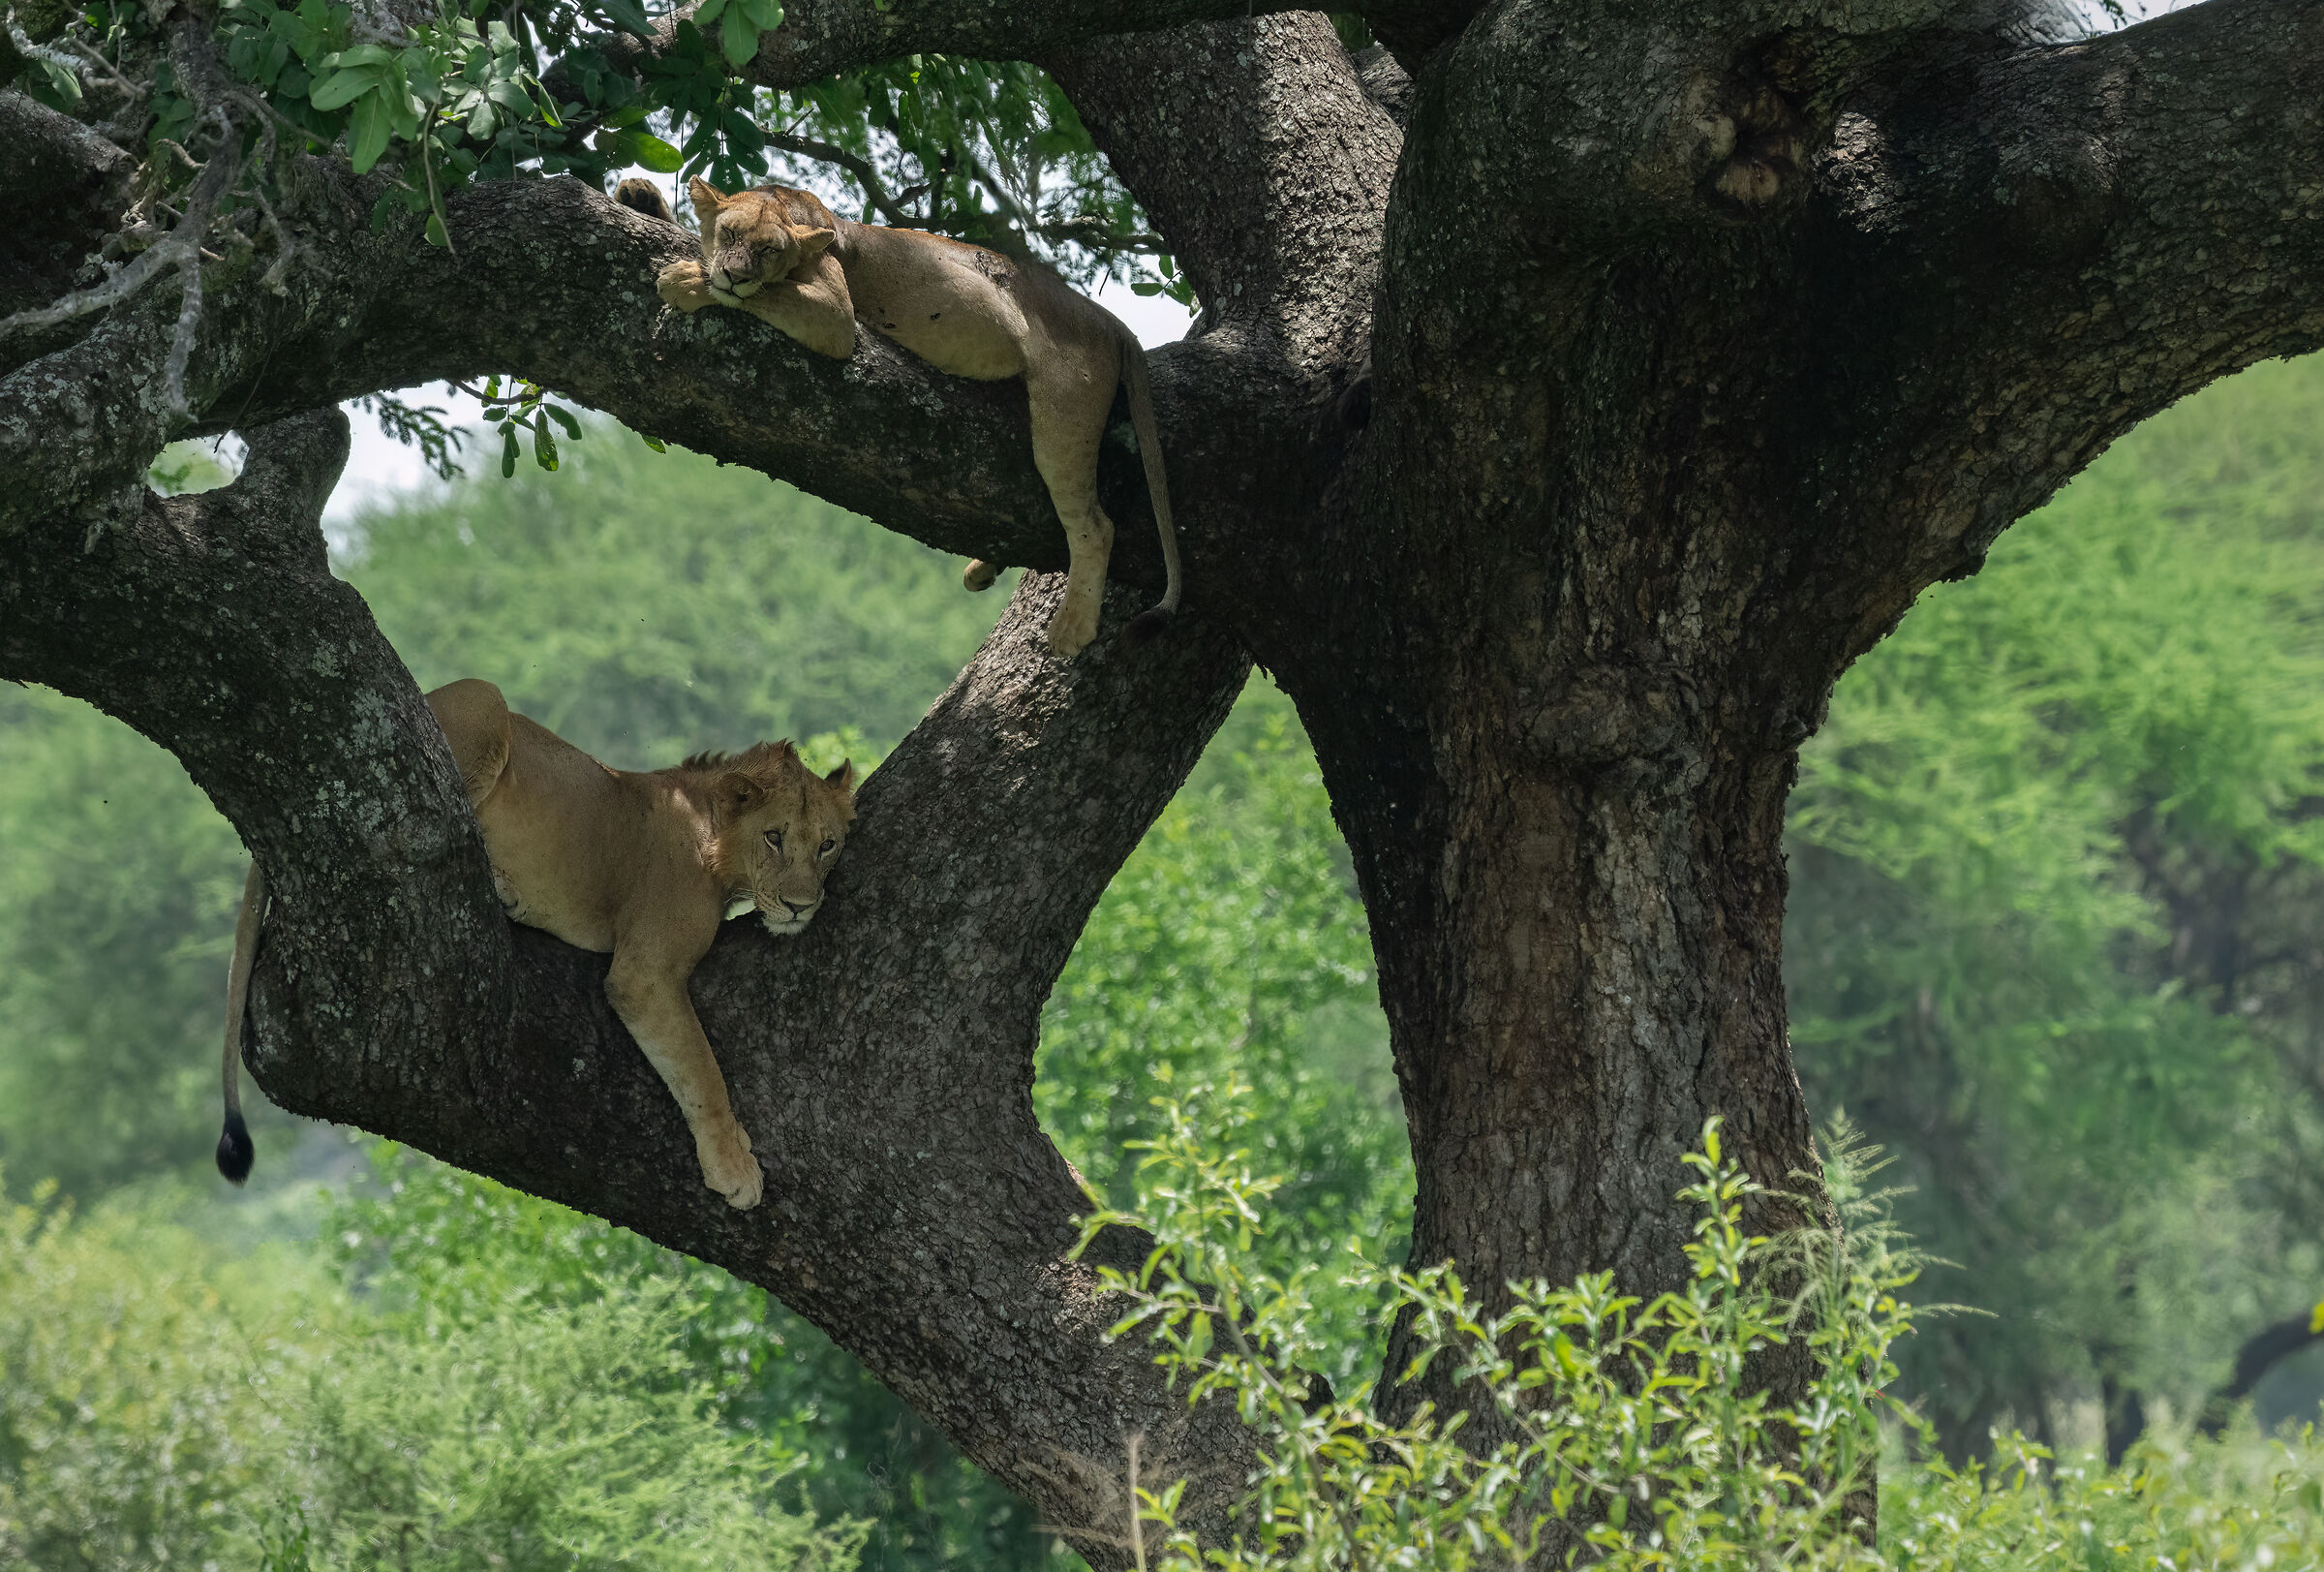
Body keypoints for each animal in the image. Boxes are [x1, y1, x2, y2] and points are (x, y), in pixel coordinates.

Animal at [217, 678, 857, 1211]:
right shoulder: (644, 974)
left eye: (827, 845)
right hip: (485, 699)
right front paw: (734, 1168)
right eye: (774, 838)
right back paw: (505, 888)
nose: (801, 906)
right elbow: (702, 1072)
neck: (713, 833)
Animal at [615, 176, 1182, 659]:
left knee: (1093, 524)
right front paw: (638, 195)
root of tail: (1110, 320)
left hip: (1064, 415)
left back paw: (1072, 627)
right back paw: (984, 568)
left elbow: (771, 293)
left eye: (769, 251)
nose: (735, 273)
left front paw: (687, 280)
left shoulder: (834, 312)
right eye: (730, 234)